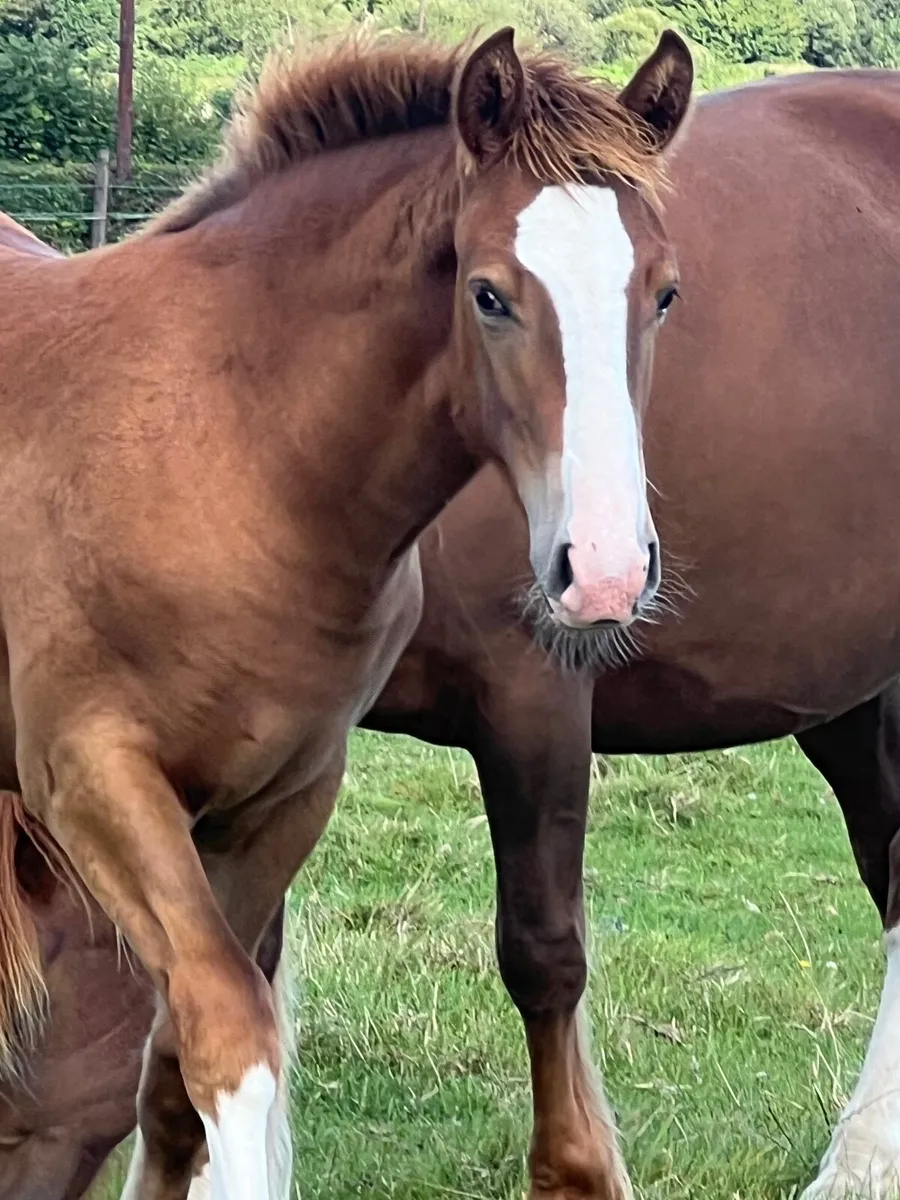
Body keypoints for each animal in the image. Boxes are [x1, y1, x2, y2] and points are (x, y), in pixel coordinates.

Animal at [7, 62, 900, 1200]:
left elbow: (541, 953)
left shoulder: (534, 691)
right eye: (487, 294)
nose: (608, 560)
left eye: (666, 294)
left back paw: (861, 1162)